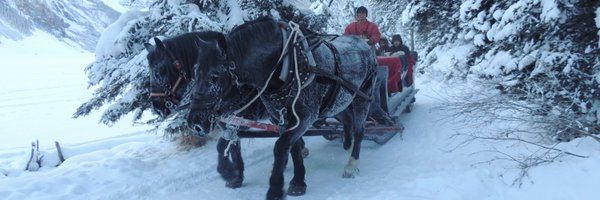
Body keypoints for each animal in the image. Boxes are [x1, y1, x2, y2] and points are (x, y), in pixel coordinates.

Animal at [143, 31, 308, 189]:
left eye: (158, 72)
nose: (157, 107)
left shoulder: (238, 121)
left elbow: (225, 146)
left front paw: (230, 173)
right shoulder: (227, 123)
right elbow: (233, 148)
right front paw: (237, 177)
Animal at [189, 17, 376, 200]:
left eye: (215, 75)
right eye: (195, 73)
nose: (194, 123)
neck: (285, 66)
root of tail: (363, 42)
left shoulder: (305, 116)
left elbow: (280, 146)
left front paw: (276, 188)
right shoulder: (276, 116)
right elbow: (290, 147)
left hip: (363, 97)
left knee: (360, 130)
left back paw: (351, 164)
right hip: (337, 102)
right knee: (347, 118)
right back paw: (347, 142)